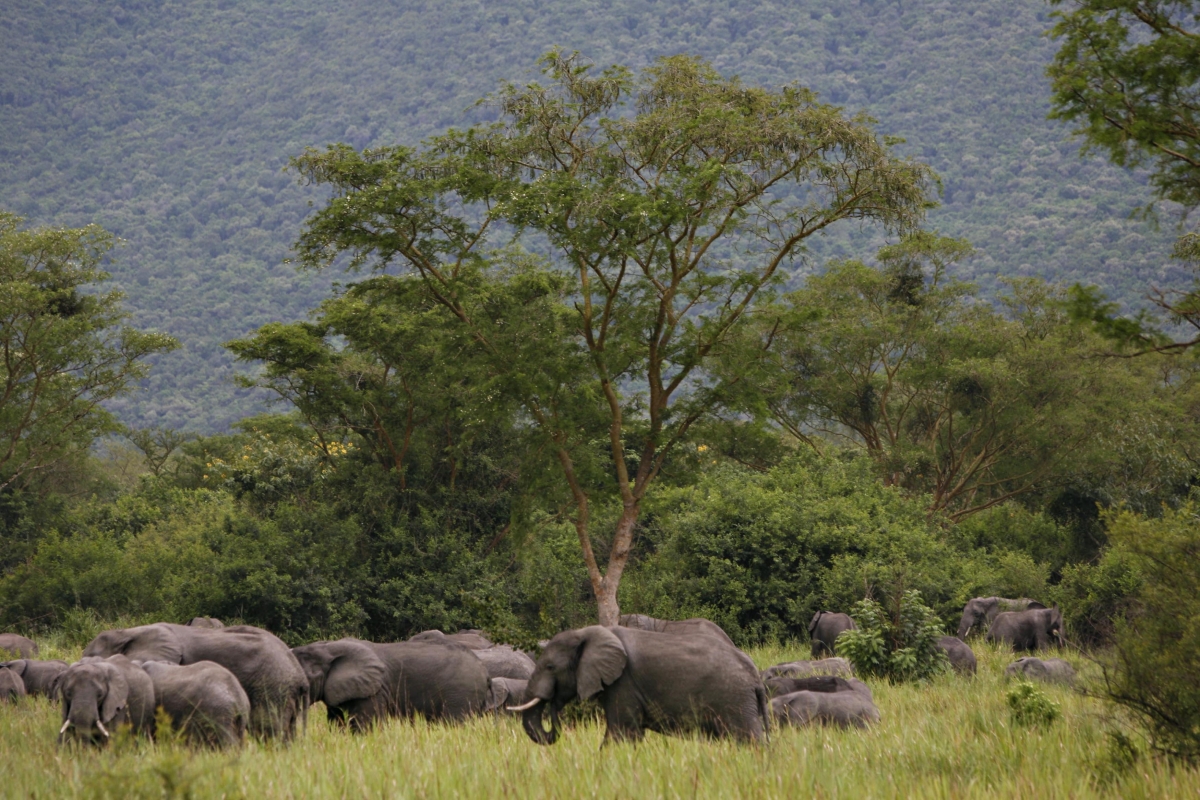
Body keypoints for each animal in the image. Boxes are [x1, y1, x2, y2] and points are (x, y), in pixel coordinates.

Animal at [290, 638, 487, 734]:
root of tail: (483, 670)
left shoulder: (373, 691)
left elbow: (366, 725)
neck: (328, 647)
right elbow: (336, 722)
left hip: (461, 692)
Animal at [513, 623, 758, 743]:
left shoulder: (623, 683)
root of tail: (755, 675)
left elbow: (621, 733)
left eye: (550, 667)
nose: (554, 703)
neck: (586, 632)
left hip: (734, 700)